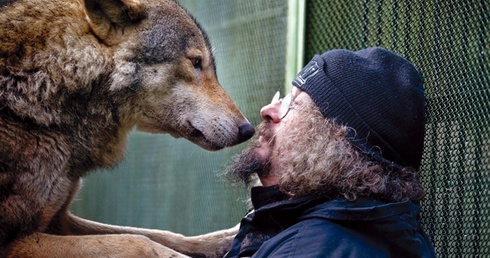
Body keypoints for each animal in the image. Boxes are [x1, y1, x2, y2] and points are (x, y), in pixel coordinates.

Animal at [0, 0, 253, 255]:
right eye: (197, 62)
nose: (248, 130)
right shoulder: (15, 241)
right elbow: (138, 241)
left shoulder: (61, 219)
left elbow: (164, 235)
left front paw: (228, 238)